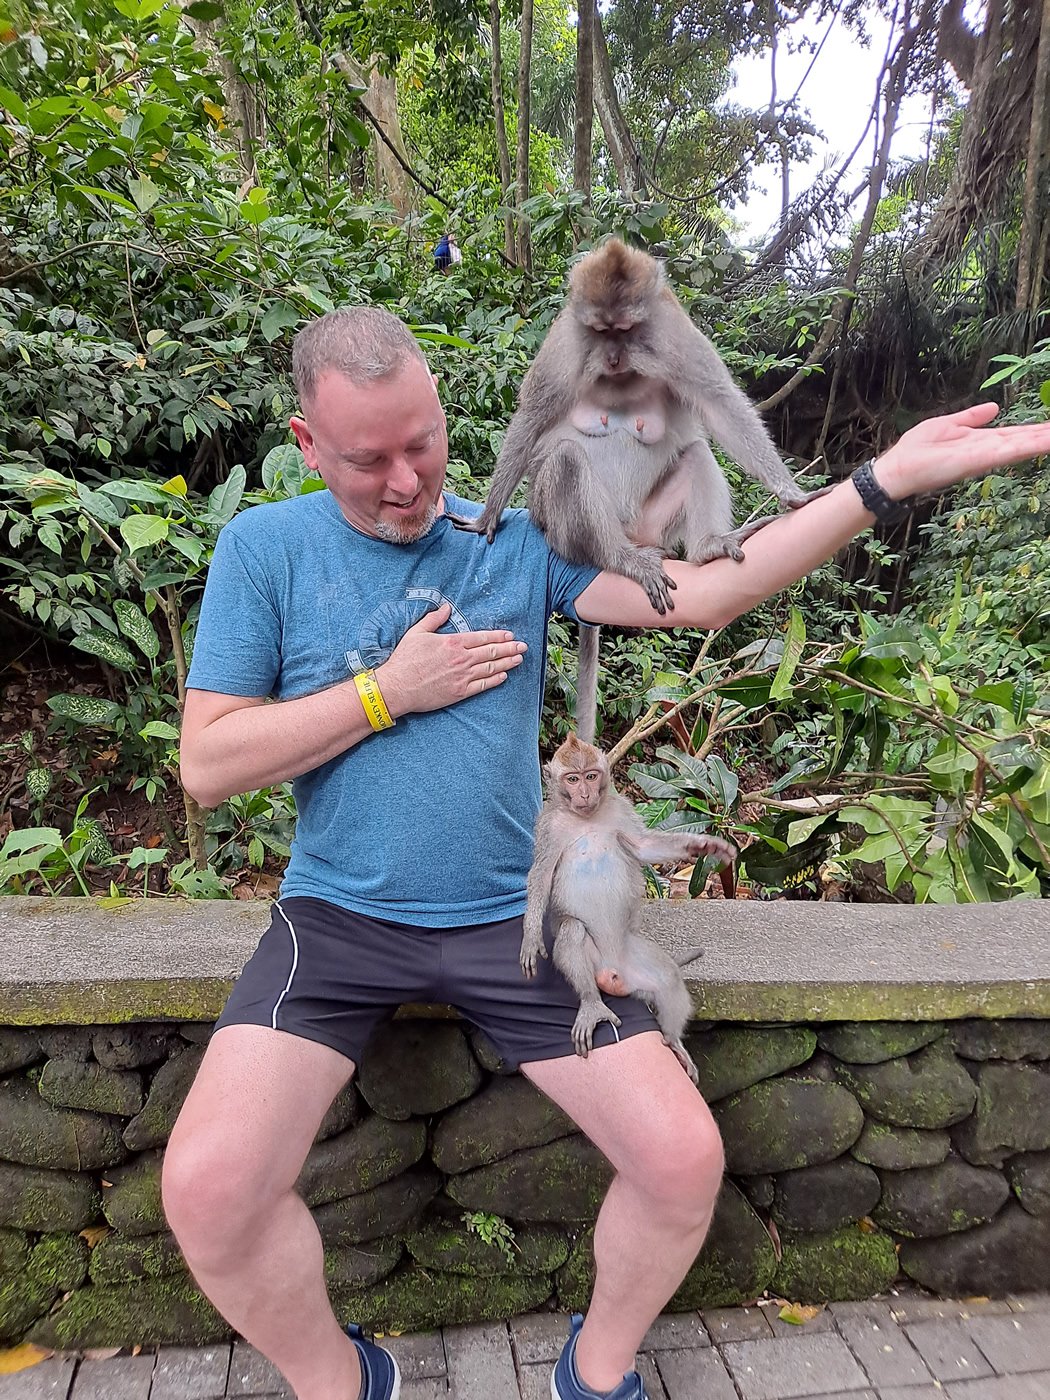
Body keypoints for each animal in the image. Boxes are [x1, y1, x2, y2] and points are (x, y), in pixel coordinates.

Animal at [523, 728, 733, 1075]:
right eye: (572, 779)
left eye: (591, 775)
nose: (584, 794)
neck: (587, 818)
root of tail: (614, 973)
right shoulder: (548, 829)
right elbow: (540, 876)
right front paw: (530, 937)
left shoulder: (621, 809)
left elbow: (643, 847)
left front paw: (703, 846)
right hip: (594, 961)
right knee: (573, 931)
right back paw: (591, 1004)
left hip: (636, 958)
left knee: (668, 978)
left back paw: (674, 1041)